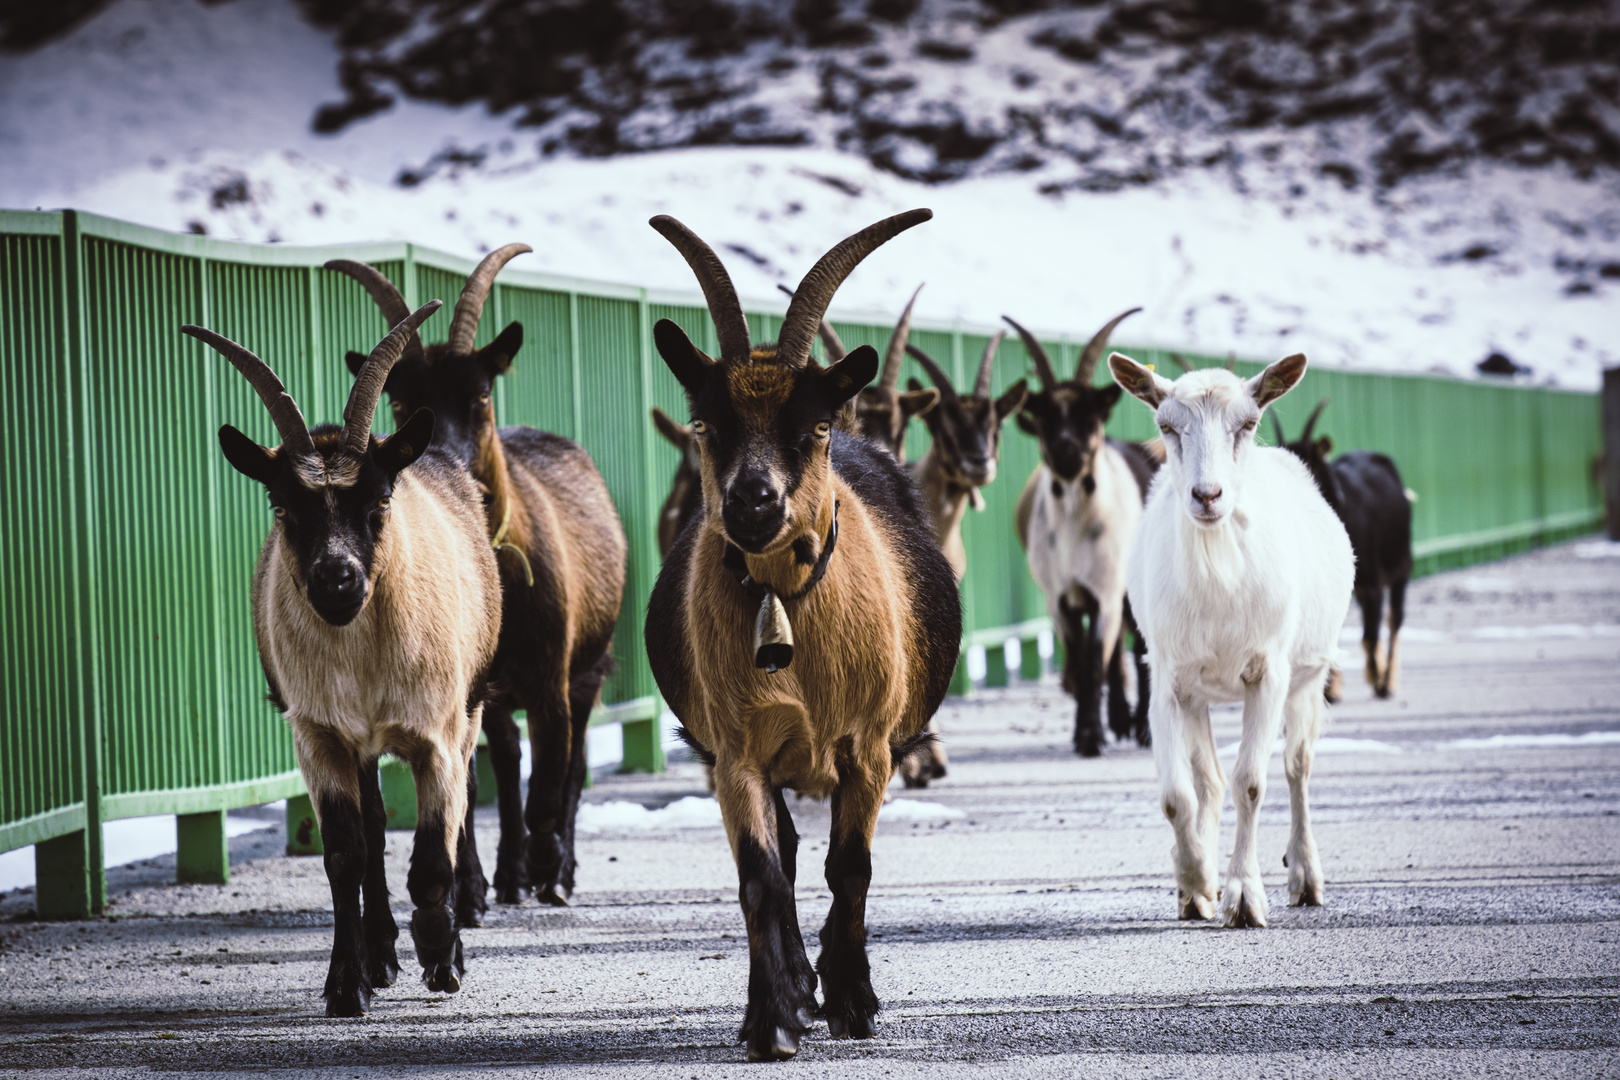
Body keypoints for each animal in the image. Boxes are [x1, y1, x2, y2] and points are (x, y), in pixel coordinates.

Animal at [327, 247, 625, 913]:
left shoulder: (550, 677)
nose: (451, 465)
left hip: (588, 666)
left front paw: (548, 868)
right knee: (508, 758)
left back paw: (556, 871)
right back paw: (508, 873)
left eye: (482, 396)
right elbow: (462, 790)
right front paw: (469, 889)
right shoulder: (458, 691)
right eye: (399, 401)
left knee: (570, 768)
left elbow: (551, 782)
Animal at [644, 210, 959, 1062]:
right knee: (781, 851)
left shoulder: (869, 746)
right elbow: (760, 876)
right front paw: (773, 1017)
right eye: (706, 424)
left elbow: (850, 866)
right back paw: (790, 984)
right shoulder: (735, 751)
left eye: (812, 427)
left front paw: (853, 1000)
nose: (753, 501)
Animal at [1114, 354, 1354, 932]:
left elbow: (1252, 781)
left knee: (1296, 766)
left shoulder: (1268, 672)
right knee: (1209, 782)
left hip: (1307, 680)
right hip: (1199, 694)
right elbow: (1177, 795)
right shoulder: (1168, 679)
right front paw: (1198, 879)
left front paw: (1244, 897)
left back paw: (1305, 877)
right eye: (1166, 426)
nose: (1207, 496)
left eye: (1247, 423)